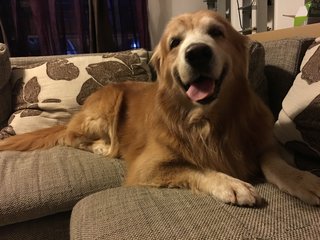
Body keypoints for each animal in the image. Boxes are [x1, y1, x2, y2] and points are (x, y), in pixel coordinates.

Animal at [0, 10, 320, 206]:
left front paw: (304, 180)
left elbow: (275, 163)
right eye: (175, 42)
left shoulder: (264, 142)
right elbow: (195, 166)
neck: (208, 119)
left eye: (217, 32)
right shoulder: (147, 166)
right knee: (73, 137)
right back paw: (102, 146)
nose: (197, 53)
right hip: (108, 102)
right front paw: (232, 184)